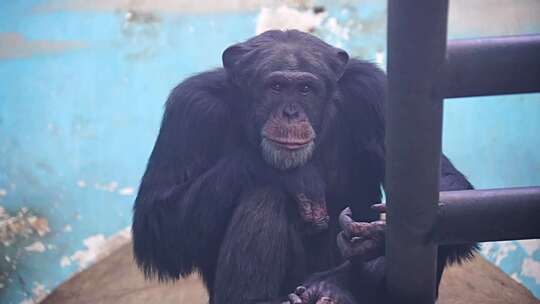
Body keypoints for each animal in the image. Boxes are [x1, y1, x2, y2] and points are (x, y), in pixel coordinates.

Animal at [132, 29, 476, 304]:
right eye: (275, 87)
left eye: (305, 89)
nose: (290, 113)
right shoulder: (191, 110)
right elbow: (158, 220)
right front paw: (296, 176)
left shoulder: (376, 93)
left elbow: (444, 184)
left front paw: (378, 237)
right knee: (264, 195)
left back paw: (333, 288)